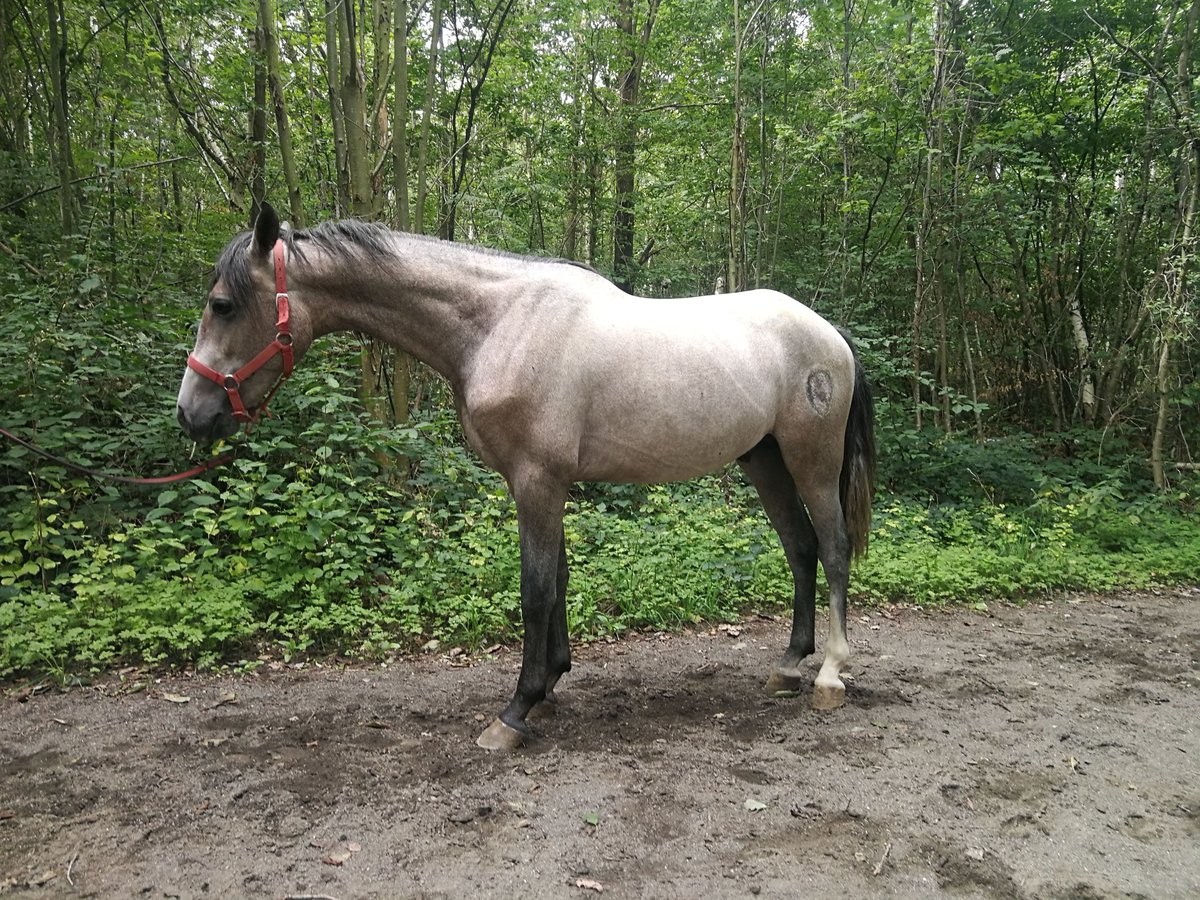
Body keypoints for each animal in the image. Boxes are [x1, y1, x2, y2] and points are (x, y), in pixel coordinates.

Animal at [175, 206, 873, 753]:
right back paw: (788, 665)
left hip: (810, 460)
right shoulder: (539, 484)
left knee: (834, 548)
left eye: (222, 304)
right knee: (801, 549)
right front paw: (550, 685)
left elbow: (535, 589)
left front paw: (515, 711)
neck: (499, 325)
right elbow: (557, 580)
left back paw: (830, 675)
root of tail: (831, 335)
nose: (191, 412)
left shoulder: (538, 481)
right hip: (765, 460)